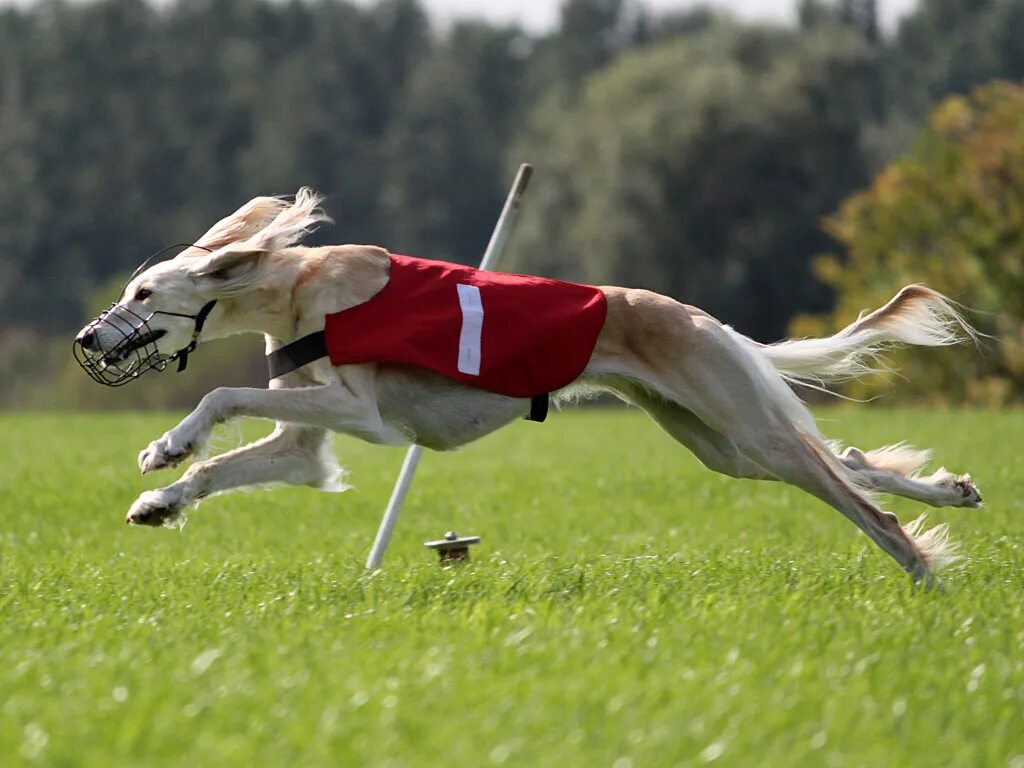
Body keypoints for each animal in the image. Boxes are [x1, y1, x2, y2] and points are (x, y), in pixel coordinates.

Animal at [74, 189, 983, 585]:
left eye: (144, 293)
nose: (88, 339)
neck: (298, 286)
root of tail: (704, 318)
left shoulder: (361, 411)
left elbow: (221, 398)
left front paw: (169, 445)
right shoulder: (306, 444)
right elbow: (239, 465)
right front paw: (161, 495)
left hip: (739, 422)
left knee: (855, 497)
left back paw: (922, 567)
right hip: (716, 438)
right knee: (848, 461)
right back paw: (951, 491)